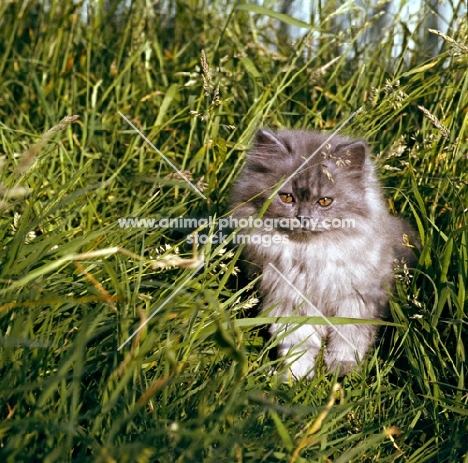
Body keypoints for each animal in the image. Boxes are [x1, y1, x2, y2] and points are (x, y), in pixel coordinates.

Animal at [230, 129, 416, 378]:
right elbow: (297, 343)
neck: (311, 254)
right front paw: (294, 377)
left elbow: (347, 339)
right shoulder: (291, 301)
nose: (303, 218)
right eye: (287, 197)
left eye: (325, 201)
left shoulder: (356, 300)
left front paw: (342, 369)